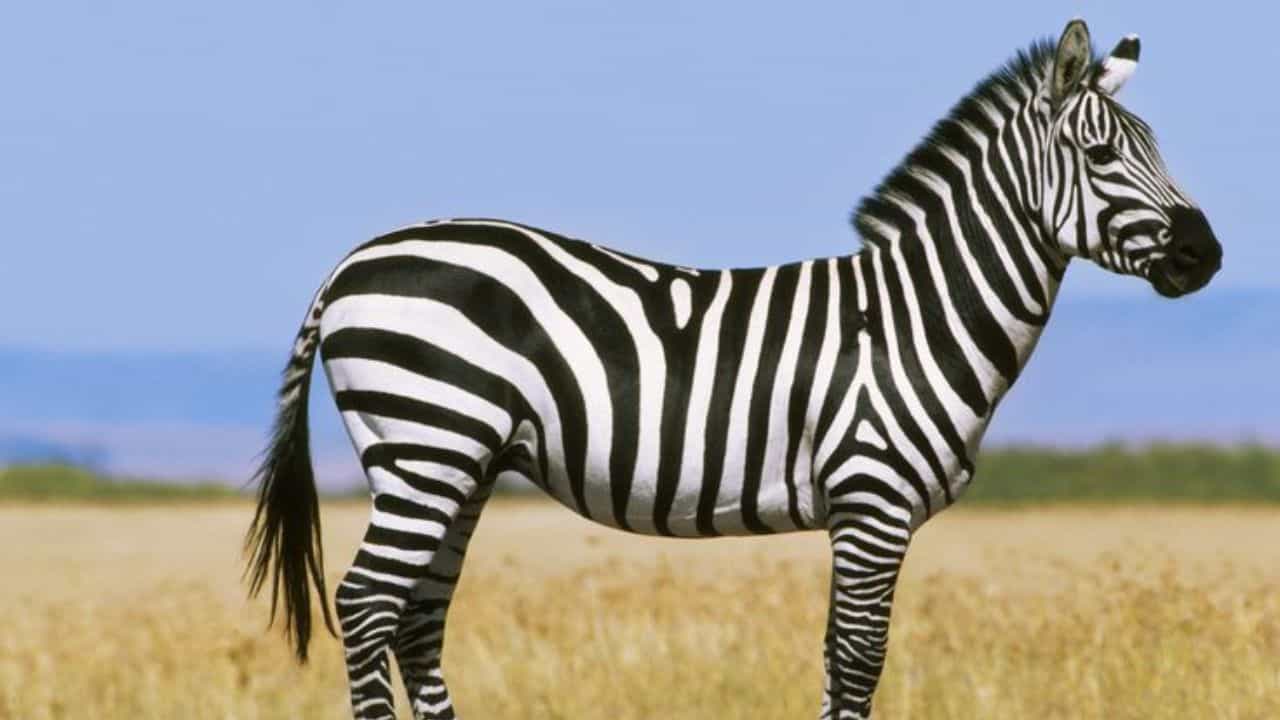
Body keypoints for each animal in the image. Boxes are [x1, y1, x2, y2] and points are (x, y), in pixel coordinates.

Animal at [245, 18, 1221, 720]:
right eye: (1102, 155)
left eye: (1156, 148)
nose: (1204, 255)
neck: (916, 315)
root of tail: (353, 261)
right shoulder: (873, 504)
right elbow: (859, 659)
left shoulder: (859, 516)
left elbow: (836, 659)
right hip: (429, 446)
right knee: (368, 604)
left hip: (456, 465)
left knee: (416, 620)